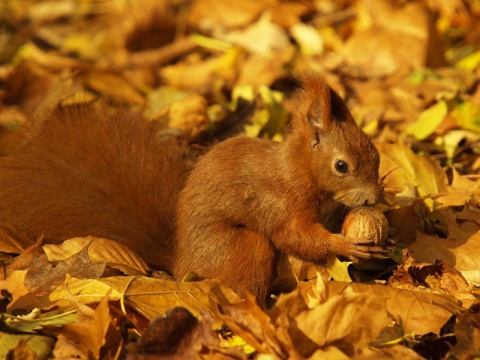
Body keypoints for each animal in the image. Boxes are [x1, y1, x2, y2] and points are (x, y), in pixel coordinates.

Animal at [0, 74, 386, 302]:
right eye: (341, 166)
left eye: (376, 152)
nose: (374, 197)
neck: (298, 169)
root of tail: (180, 263)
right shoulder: (277, 202)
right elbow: (295, 236)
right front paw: (346, 245)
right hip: (242, 248)